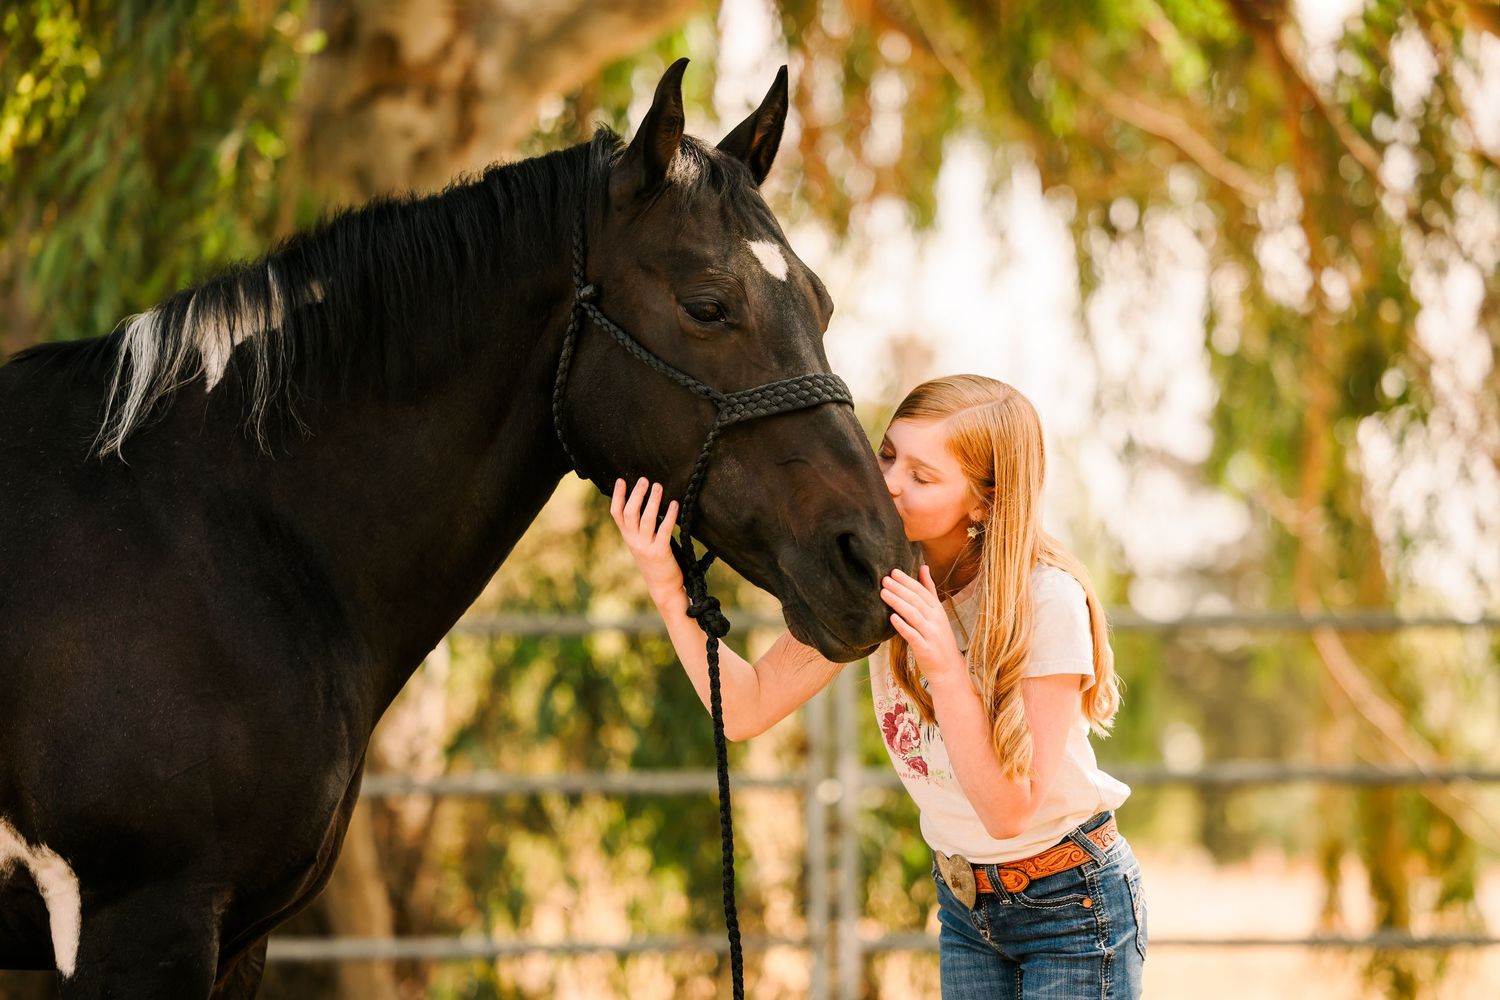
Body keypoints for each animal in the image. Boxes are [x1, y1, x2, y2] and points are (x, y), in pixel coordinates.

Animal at [0, 59, 912, 998]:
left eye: (822, 304)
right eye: (706, 305)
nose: (874, 556)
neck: (211, 532)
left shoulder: (236, 941)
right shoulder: (148, 922)